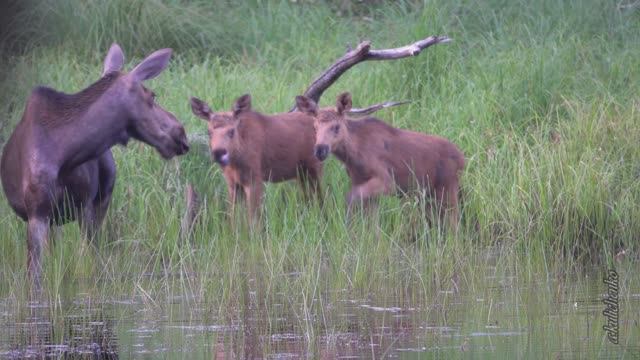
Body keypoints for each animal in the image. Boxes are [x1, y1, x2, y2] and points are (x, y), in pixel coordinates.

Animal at [0, 43, 189, 286]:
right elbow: (36, 279)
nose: (181, 134)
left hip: (101, 199)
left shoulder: (85, 205)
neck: (65, 153)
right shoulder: (37, 214)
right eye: (152, 95)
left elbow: (87, 265)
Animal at [296, 91, 464, 229]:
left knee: (454, 226)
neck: (353, 154)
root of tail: (462, 159)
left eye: (336, 126)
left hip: (447, 190)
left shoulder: (388, 182)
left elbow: (351, 198)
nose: (320, 150)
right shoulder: (362, 183)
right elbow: (373, 224)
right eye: (315, 127)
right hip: (430, 195)